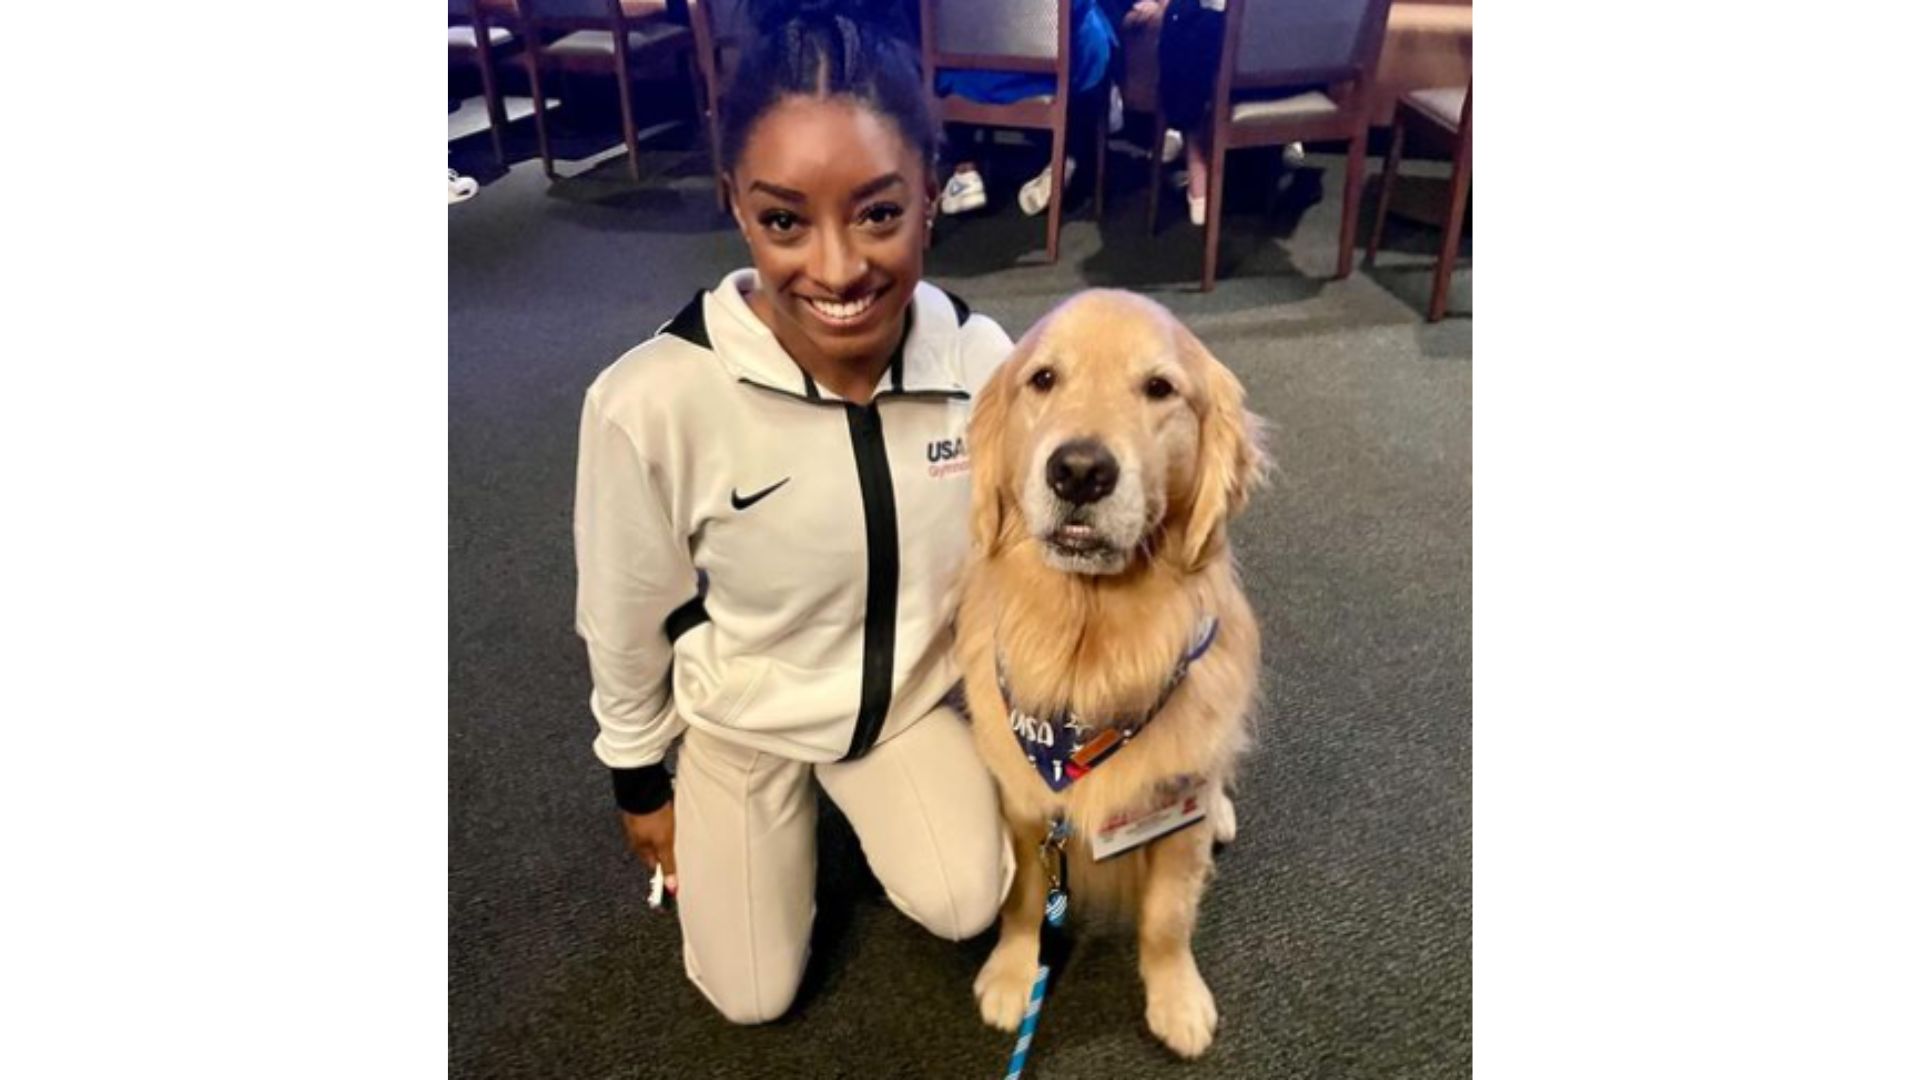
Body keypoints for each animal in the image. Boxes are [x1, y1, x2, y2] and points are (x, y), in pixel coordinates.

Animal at [956, 286, 1259, 1053]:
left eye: (1159, 388)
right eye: (1043, 379)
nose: (1081, 470)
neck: (1088, 651)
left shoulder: (1175, 808)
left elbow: (1168, 917)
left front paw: (1176, 997)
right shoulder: (1025, 799)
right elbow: (1023, 900)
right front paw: (1013, 973)